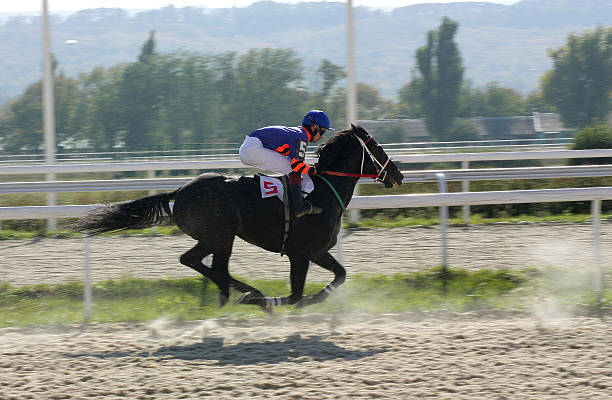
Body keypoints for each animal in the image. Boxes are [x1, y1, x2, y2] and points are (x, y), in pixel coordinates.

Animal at [74, 123, 404, 310]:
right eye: (376, 147)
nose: (398, 175)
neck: (322, 193)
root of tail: (181, 190)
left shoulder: (318, 251)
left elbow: (340, 276)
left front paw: (315, 300)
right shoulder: (300, 254)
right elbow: (296, 296)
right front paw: (269, 302)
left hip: (221, 238)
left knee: (209, 265)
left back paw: (230, 294)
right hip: (219, 235)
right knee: (194, 261)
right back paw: (247, 294)